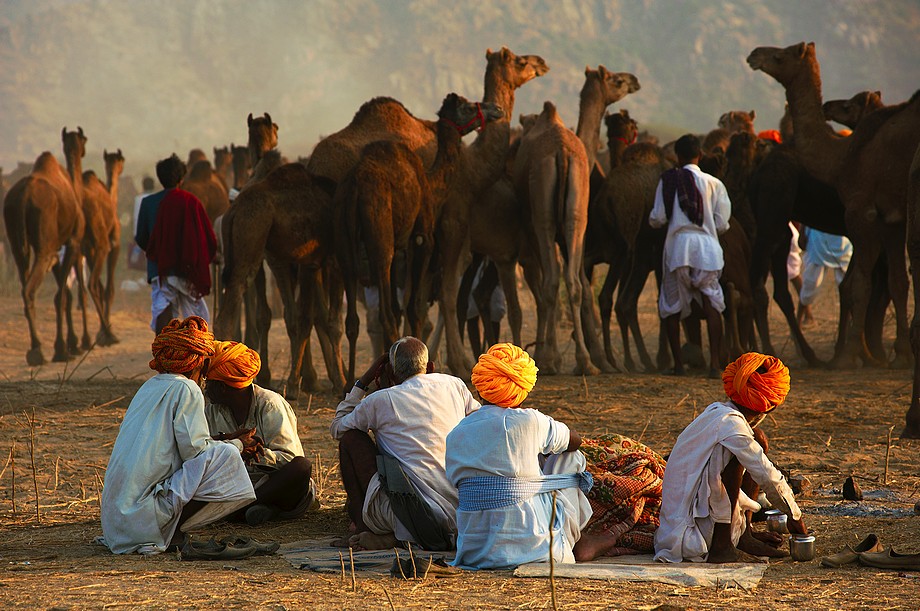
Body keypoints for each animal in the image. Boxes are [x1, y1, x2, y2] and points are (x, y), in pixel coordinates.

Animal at [3, 127, 87, 365]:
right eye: (85, 140)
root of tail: (23, 198)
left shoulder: (57, 251)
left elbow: (65, 292)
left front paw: (71, 344)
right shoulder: (73, 242)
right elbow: (65, 295)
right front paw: (66, 347)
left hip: (16, 242)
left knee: (23, 276)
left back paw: (34, 347)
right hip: (44, 246)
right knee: (30, 289)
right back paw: (38, 350)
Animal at [336, 94, 503, 381]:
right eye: (466, 106)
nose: (495, 109)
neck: (430, 182)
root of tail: (357, 187)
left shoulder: (400, 247)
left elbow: (400, 304)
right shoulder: (421, 238)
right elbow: (414, 306)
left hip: (345, 238)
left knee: (354, 317)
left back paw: (348, 378)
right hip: (380, 237)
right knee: (385, 310)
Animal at [748, 42, 918, 374]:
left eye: (780, 56)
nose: (754, 54)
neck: (842, 157)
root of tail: (759, 171)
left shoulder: (876, 218)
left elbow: (881, 283)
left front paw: (874, 353)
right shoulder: (875, 218)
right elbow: (866, 285)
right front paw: (859, 354)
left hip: (779, 224)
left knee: (773, 287)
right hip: (773, 218)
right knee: (760, 282)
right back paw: (770, 353)